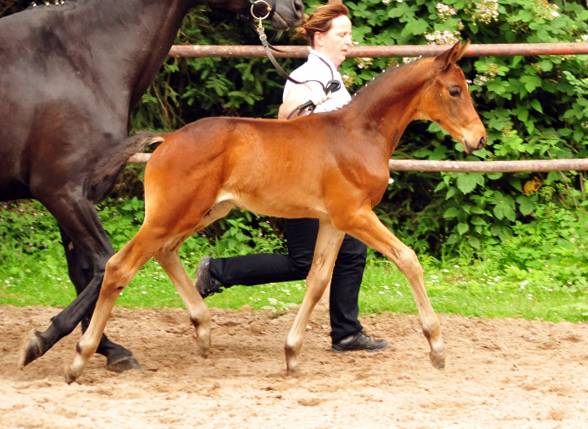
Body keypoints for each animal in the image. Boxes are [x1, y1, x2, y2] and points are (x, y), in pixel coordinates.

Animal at [2, 0, 306, 372]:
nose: (297, 8)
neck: (80, 60)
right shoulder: (62, 193)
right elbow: (104, 262)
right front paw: (43, 341)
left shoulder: (72, 196)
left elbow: (84, 271)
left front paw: (106, 348)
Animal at [64, 40, 486, 382]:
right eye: (454, 90)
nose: (479, 139)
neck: (360, 133)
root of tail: (167, 139)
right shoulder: (354, 214)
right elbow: (408, 259)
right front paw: (437, 348)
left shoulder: (333, 221)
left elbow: (317, 280)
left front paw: (292, 354)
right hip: (172, 214)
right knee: (120, 266)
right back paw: (81, 359)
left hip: (204, 212)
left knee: (164, 252)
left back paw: (203, 329)